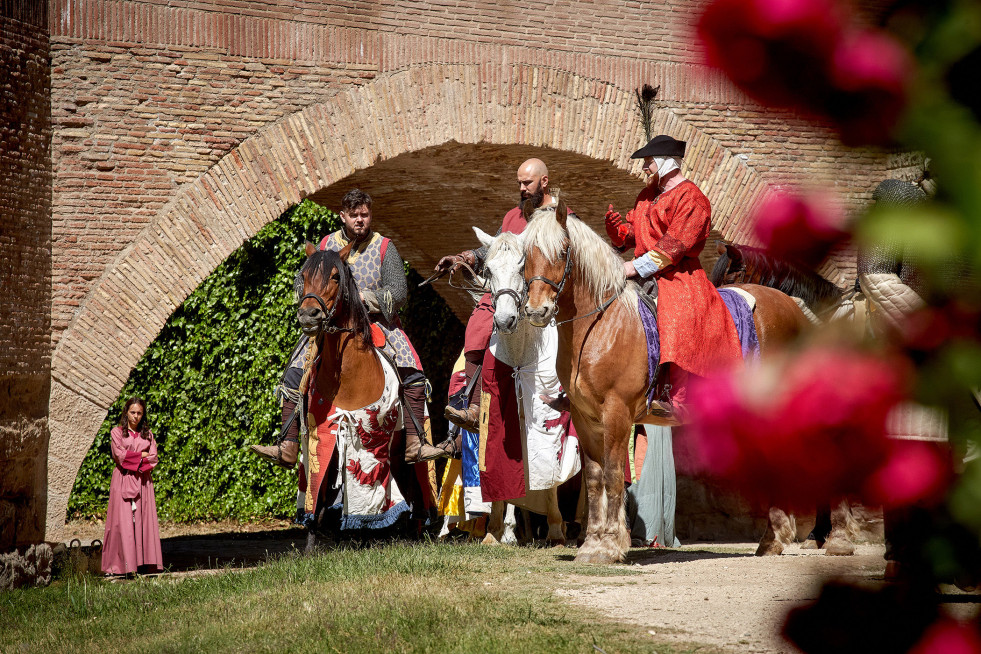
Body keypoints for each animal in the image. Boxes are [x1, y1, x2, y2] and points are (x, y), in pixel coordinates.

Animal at [470, 228, 580, 544]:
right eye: (489, 270)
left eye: (522, 268)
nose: (505, 320)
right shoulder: (500, 411)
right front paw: (496, 530)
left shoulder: (546, 414)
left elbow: (548, 467)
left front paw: (555, 528)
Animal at [520, 196, 804, 564]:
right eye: (526, 253)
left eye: (563, 250)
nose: (536, 310)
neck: (602, 323)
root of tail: (793, 307)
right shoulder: (585, 419)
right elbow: (595, 479)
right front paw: (592, 543)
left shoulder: (617, 414)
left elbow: (614, 476)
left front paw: (609, 545)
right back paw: (773, 540)